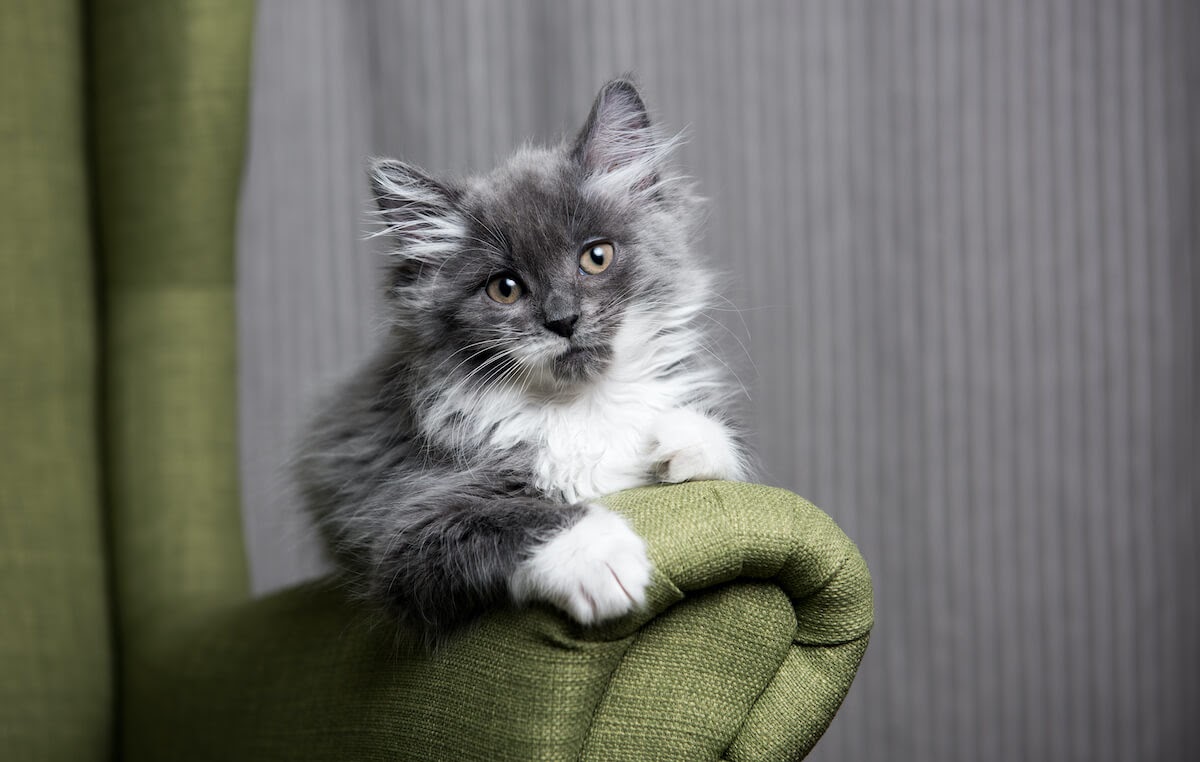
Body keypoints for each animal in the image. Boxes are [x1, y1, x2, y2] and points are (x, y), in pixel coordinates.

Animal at [297, 79, 748, 648]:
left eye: (596, 257)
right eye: (505, 288)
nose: (563, 320)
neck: (582, 407)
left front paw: (685, 439)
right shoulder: (403, 523)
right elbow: (514, 517)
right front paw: (600, 556)